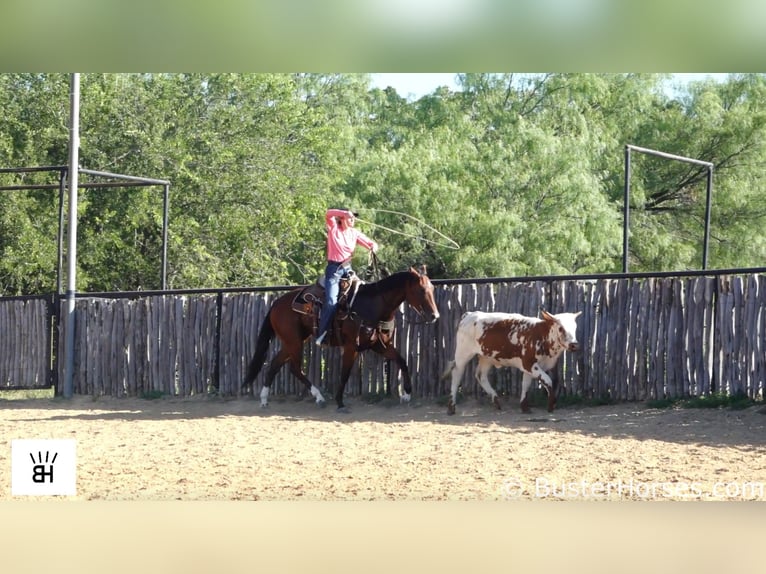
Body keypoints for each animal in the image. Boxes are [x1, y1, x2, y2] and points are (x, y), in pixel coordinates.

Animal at [243, 268, 440, 412]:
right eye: (421, 290)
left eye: (432, 289)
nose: (435, 315)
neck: (373, 305)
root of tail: (276, 304)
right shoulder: (352, 347)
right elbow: (345, 373)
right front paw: (340, 402)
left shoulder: (379, 345)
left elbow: (402, 361)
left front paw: (407, 394)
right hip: (294, 342)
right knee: (294, 368)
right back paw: (319, 397)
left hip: (294, 341)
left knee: (276, 364)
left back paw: (264, 399)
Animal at [444, 312, 584, 416]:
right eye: (561, 328)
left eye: (575, 328)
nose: (574, 345)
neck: (541, 335)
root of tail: (469, 315)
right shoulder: (529, 363)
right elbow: (547, 380)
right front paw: (551, 405)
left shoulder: (531, 367)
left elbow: (526, 384)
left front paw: (525, 407)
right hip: (463, 354)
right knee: (457, 374)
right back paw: (451, 407)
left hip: (486, 358)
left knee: (480, 375)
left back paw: (496, 400)